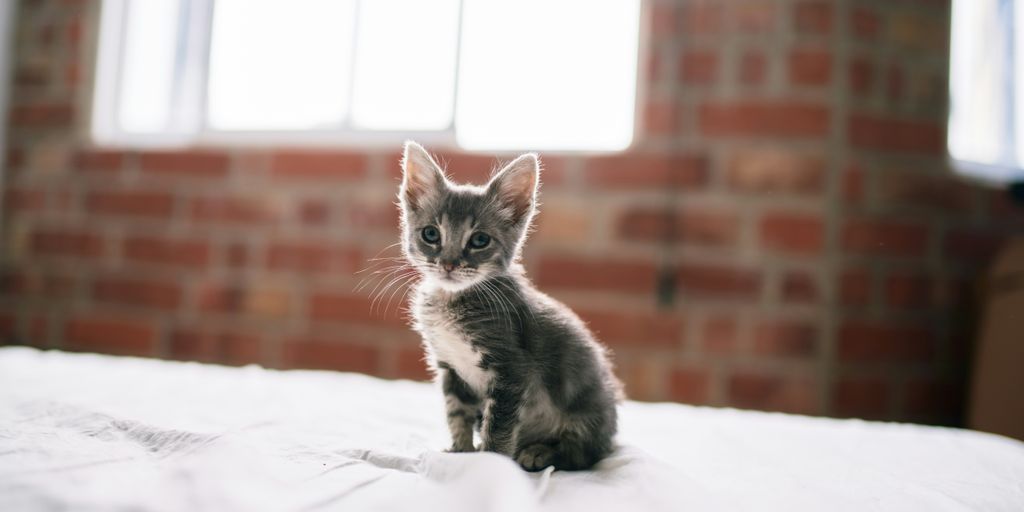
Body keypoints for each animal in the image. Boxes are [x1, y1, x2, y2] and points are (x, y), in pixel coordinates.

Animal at [397, 141, 622, 471]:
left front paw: (489, 462)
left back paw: (539, 452)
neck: (452, 301)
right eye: (431, 234)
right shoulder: (450, 368)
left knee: (583, 454)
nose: (449, 264)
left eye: (479, 240)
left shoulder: (512, 370)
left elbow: (499, 426)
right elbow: (457, 413)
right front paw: (461, 451)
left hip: (588, 405)